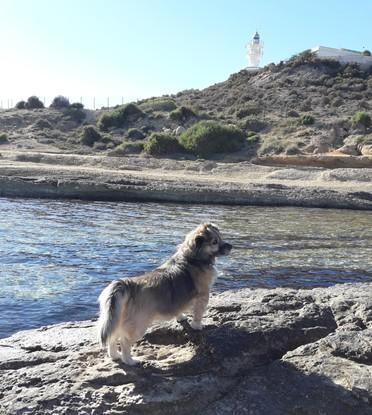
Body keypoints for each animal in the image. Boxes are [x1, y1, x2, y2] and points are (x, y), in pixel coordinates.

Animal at [99, 224, 232, 368]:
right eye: (214, 242)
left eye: (220, 237)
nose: (231, 246)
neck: (192, 258)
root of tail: (127, 285)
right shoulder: (202, 296)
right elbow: (198, 314)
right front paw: (197, 326)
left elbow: (179, 310)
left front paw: (181, 318)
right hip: (138, 326)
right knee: (124, 342)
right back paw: (129, 361)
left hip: (116, 320)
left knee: (112, 338)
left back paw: (115, 355)